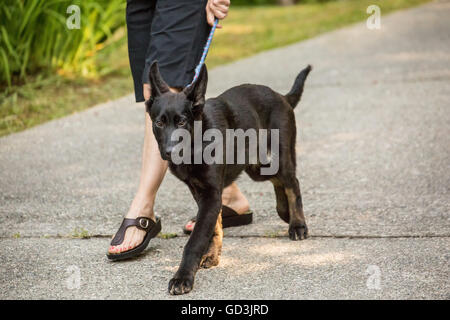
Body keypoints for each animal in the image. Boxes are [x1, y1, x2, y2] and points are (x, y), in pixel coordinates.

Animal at [146, 60, 312, 296]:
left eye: (182, 122)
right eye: (159, 123)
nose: (170, 152)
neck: (197, 144)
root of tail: (281, 96)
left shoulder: (211, 196)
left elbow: (196, 240)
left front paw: (183, 277)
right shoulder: (202, 194)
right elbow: (215, 227)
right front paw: (212, 256)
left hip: (280, 156)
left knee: (292, 183)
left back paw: (297, 224)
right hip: (254, 166)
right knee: (277, 180)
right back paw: (284, 211)